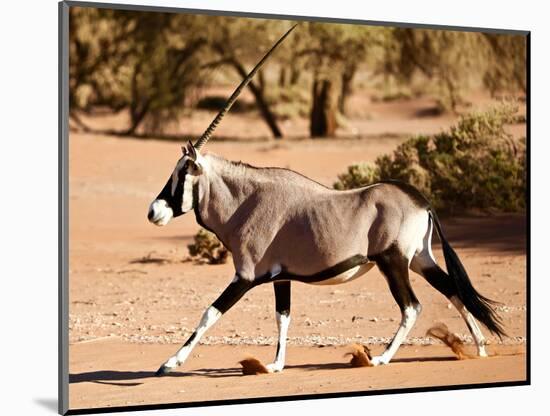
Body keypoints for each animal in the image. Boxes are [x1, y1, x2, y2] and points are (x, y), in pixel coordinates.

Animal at [146, 26, 504, 376]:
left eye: (183, 172)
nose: (154, 211)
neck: (245, 202)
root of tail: (422, 202)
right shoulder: (282, 277)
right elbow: (283, 315)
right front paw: (275, 364)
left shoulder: (245, 277)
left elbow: (210, 312)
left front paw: (169, 363)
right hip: (419, 258)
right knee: (453, 290)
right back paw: (480, 349)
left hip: (393, 261)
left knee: (412, 306)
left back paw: (381, 358)